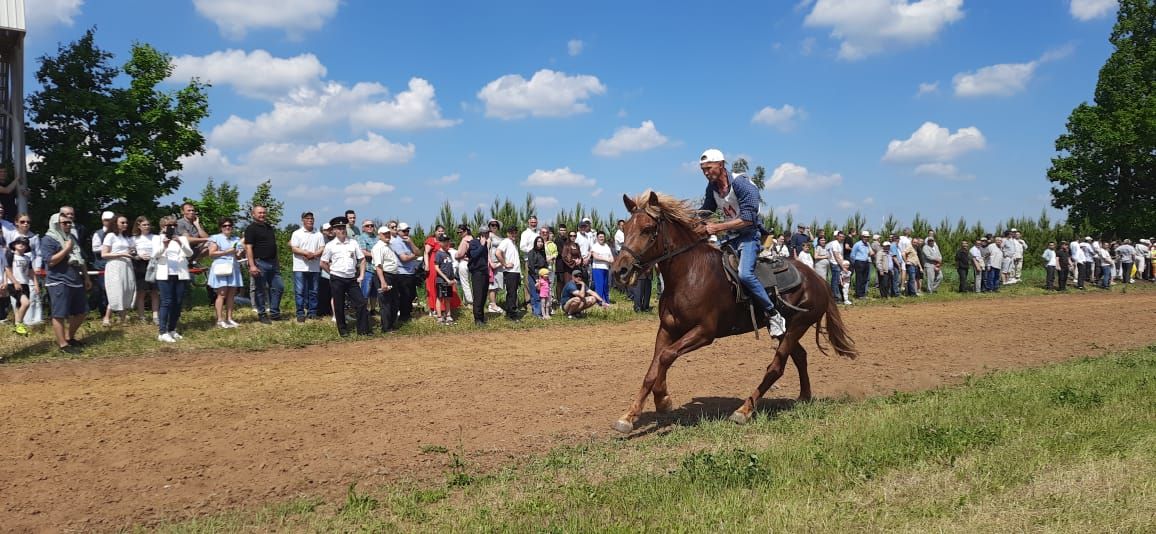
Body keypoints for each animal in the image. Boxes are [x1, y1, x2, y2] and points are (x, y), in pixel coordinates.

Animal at [614, 190, 860, 434]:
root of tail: (819, 280)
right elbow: (653, 369)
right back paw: (803, 397)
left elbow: (666, 357)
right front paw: (630, 415)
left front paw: (662, 400)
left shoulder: (704, 332)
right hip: (786, 329)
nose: (620, 270)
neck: (688, 274)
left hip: (797, 325)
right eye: (625, 229)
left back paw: (744, 410)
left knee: (777, 366)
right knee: (800, 357)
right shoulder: (667, 329)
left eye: (647, 229)